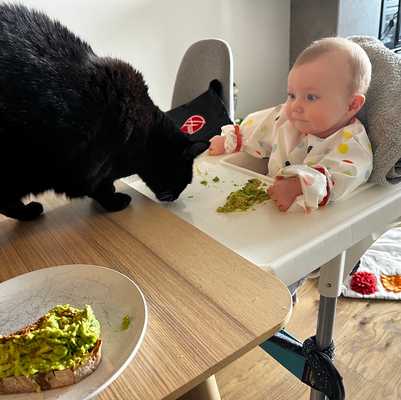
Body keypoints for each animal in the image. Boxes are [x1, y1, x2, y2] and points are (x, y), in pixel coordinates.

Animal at [0, 3, 206, 220]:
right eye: (185, 179)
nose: (176, 196)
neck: (145, 135)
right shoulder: (88, 170)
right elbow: (100, 189)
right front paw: (115, 201)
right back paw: (29, 212)